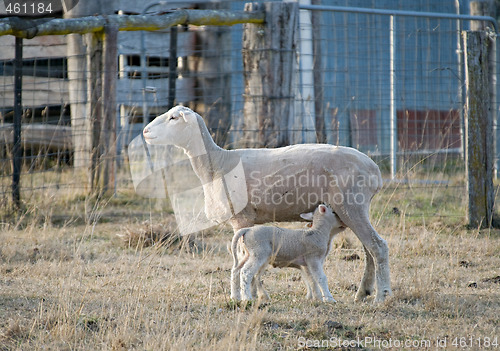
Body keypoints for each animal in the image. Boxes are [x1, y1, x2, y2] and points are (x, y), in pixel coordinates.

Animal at [143, 106, 392, 304]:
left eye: (173, 118)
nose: (145, 131)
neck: (217, 164)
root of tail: (374, 170)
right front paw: (253, 293)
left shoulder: (241, 218)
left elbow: (244, 257)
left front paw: (250, 295)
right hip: (355, 209)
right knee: (369, 250)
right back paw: (363, 293)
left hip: (352, 205)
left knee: (377, 246)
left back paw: (382, 296)